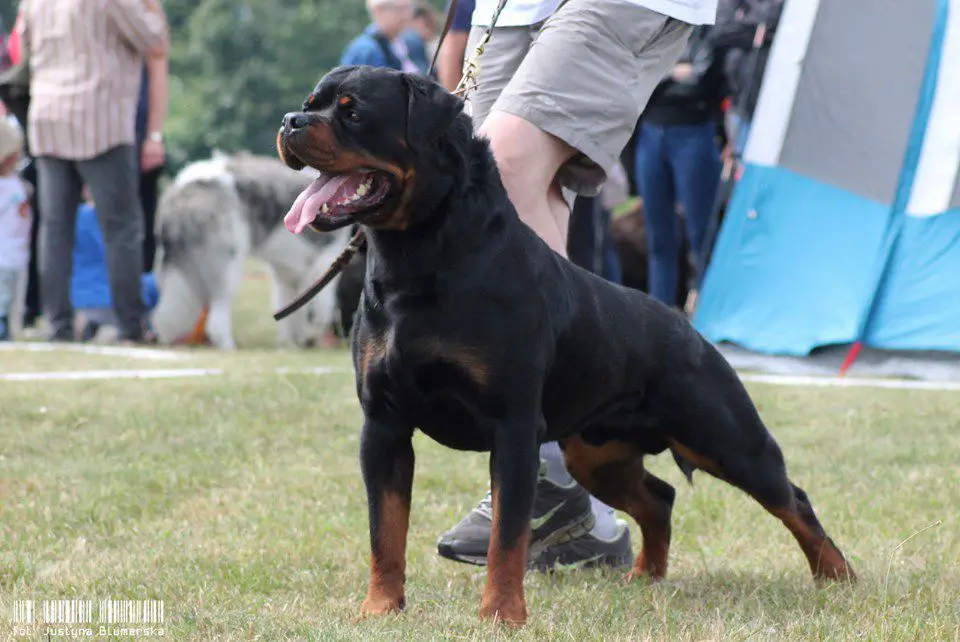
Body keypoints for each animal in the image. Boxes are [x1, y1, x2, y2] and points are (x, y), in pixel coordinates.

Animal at [152, 151, 350, 349]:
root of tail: (182, 194)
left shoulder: (287, 276)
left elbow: (292, 311)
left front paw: (291, 343)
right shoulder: (321, 265)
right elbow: (320, 312)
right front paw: (309, 338)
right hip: (227, 266)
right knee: (216, 318)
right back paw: (228, 346)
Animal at [278, 66, 855, 627]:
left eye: (353, 113)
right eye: (310, 104)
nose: (289, 122)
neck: (417, 258)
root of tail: (687, 325)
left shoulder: (512, 428)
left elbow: (507, 538)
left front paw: (501, 616)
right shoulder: (384, 426)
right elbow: (385, 531)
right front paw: (380, 609)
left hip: (725, 439)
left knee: (792, 499)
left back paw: (838, 577)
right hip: (596, 454)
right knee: (659, 498)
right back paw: (645, 576)